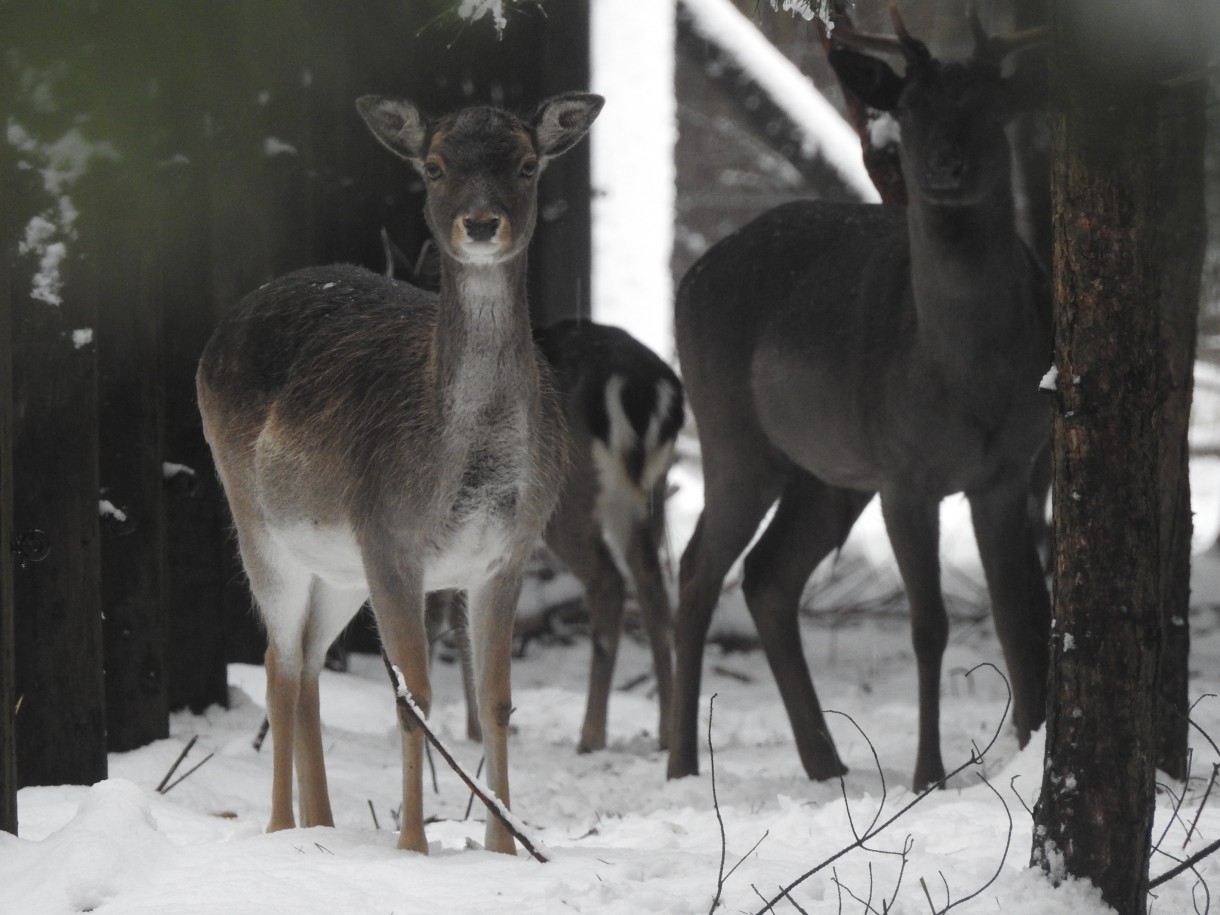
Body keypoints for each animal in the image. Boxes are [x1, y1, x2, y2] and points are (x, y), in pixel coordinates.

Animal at [192, 91, 602, 854]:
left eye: (527, 164)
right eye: (434, 166)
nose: (481, 222)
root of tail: (219, 333)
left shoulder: (506, 551)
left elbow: (497, 701)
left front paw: (506, 847)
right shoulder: (389, 537)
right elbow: (414, 698)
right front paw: (413, 845)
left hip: (339, 571)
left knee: (308, 661)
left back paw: (322, 823)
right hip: (258, 525)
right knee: (277, 661)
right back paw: (281, 826)